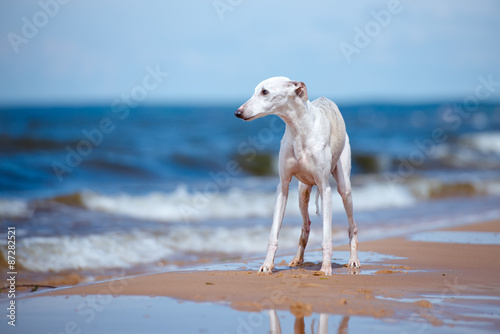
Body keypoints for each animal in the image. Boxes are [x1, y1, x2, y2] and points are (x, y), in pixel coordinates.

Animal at [234, 76, 360, 274]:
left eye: (265, 91)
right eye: (255, 90)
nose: (238, 112)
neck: (299, 129)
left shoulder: (325, 188)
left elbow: (327, 237)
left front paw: (325, 268)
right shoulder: (283, 185)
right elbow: (273, 233)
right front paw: (267, 265)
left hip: (344, 187)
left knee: (352, 225)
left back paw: (353, 260)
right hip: (303, 191)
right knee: (305, 226)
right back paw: (297, 259)